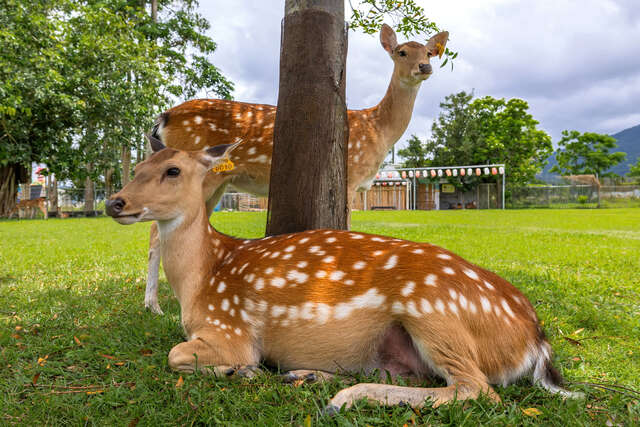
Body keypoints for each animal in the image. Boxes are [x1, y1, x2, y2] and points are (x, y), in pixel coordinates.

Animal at [106, 141, 582, 414]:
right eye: (138, 166)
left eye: (173, 170)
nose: (115, 202)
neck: (201, 279)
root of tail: (536, 338)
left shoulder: (232, 329)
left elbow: (175, 355)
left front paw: (241, 371)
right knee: (420, 377)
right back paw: (310, 377)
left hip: (435, 313)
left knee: (476, 390)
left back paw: (340, 399)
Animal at [143, 24, 450, 314]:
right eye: (401, 52)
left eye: (429, 52)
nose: (424, 67)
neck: (378, 133)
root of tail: (162, 118)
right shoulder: (350, 176)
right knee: (156, 231)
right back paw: (153, 305)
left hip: (215, 182)